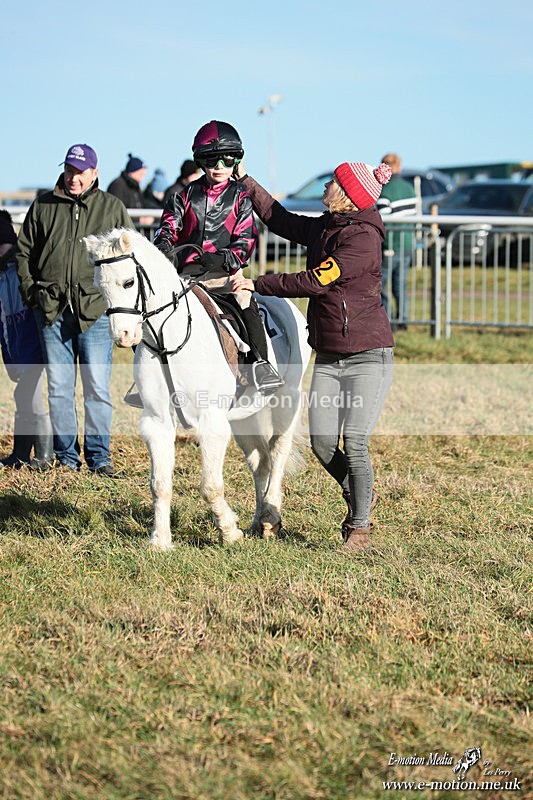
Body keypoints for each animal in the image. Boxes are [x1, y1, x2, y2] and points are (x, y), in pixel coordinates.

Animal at [85, 228, 311, 550]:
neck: (168, 338)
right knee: (260, 462)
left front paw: (229, 531)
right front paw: (160, 540)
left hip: (286, 401)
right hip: (244, 417)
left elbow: (210, 485)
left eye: (128, 282)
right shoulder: (156, 421)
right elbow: (159, 484)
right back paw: (260, 522)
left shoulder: (211, 422)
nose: (123, 336)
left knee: (278, 453)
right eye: (99, 287)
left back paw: (270, 517)